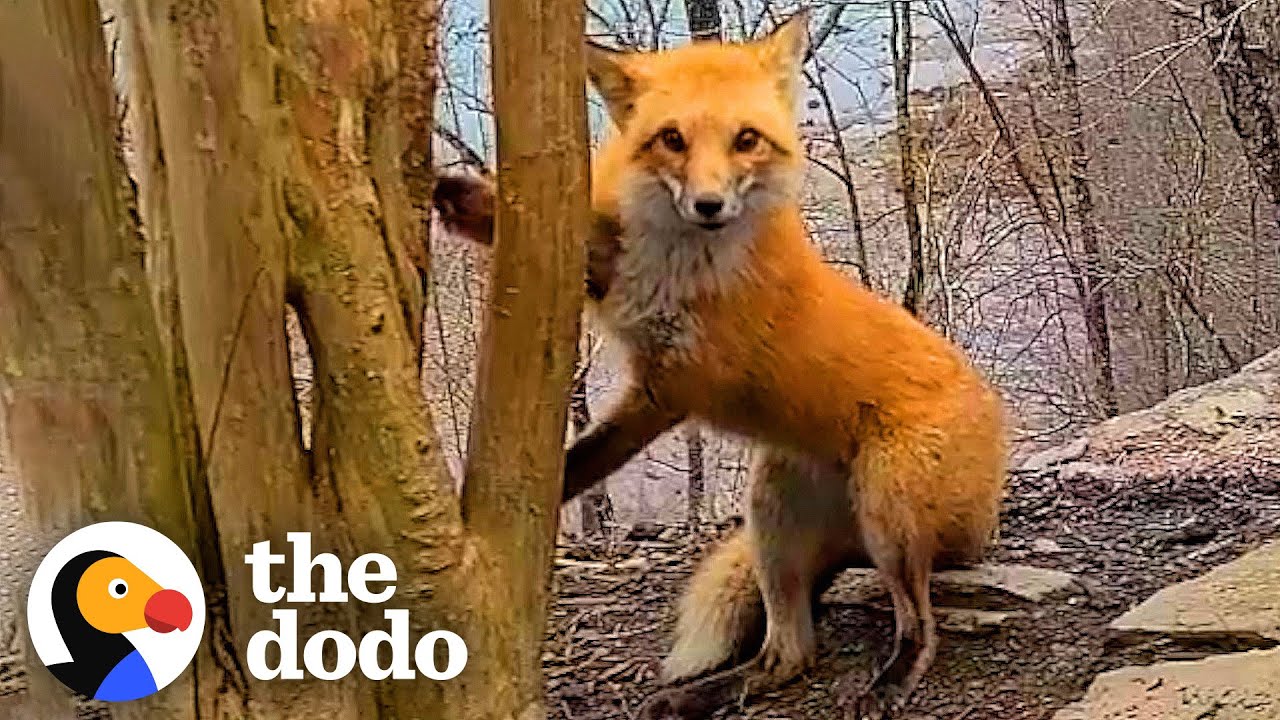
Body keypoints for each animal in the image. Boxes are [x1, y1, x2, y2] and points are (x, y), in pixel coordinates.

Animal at [435, 12, 1003, 717]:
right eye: (671, 140)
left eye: (747, 140)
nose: (709, 206)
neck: (677, 253)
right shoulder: (631, 287)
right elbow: (578, 237)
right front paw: (463, 198)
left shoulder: (676, 380)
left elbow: (591, 453)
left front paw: (543, 488)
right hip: (773, 522)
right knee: (789, 655)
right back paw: (704, 695)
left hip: (890, 512)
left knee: (918, 625)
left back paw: (891, 679)